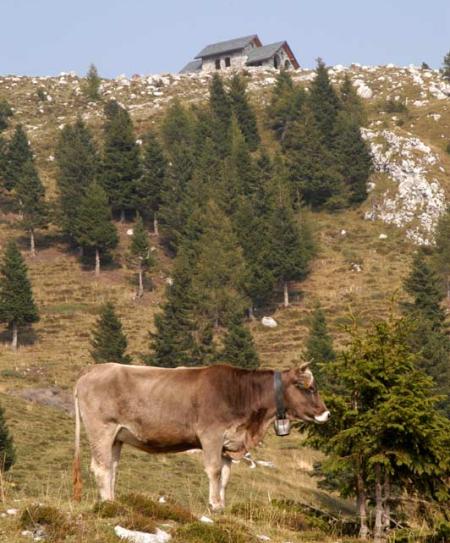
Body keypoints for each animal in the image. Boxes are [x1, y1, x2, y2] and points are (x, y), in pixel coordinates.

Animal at [72, 364, 328, 512]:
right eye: (306, 387)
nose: (326, 413)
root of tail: (94, 369)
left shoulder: (228, 443)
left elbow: (225, 476)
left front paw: (221, 505)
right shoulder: (211, 435)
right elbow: (214, 471)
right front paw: (214, 504)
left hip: (117, 437)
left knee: (112, 467)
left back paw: (113, 500)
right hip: (101, 429)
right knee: (101, 467)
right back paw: (108, 503)